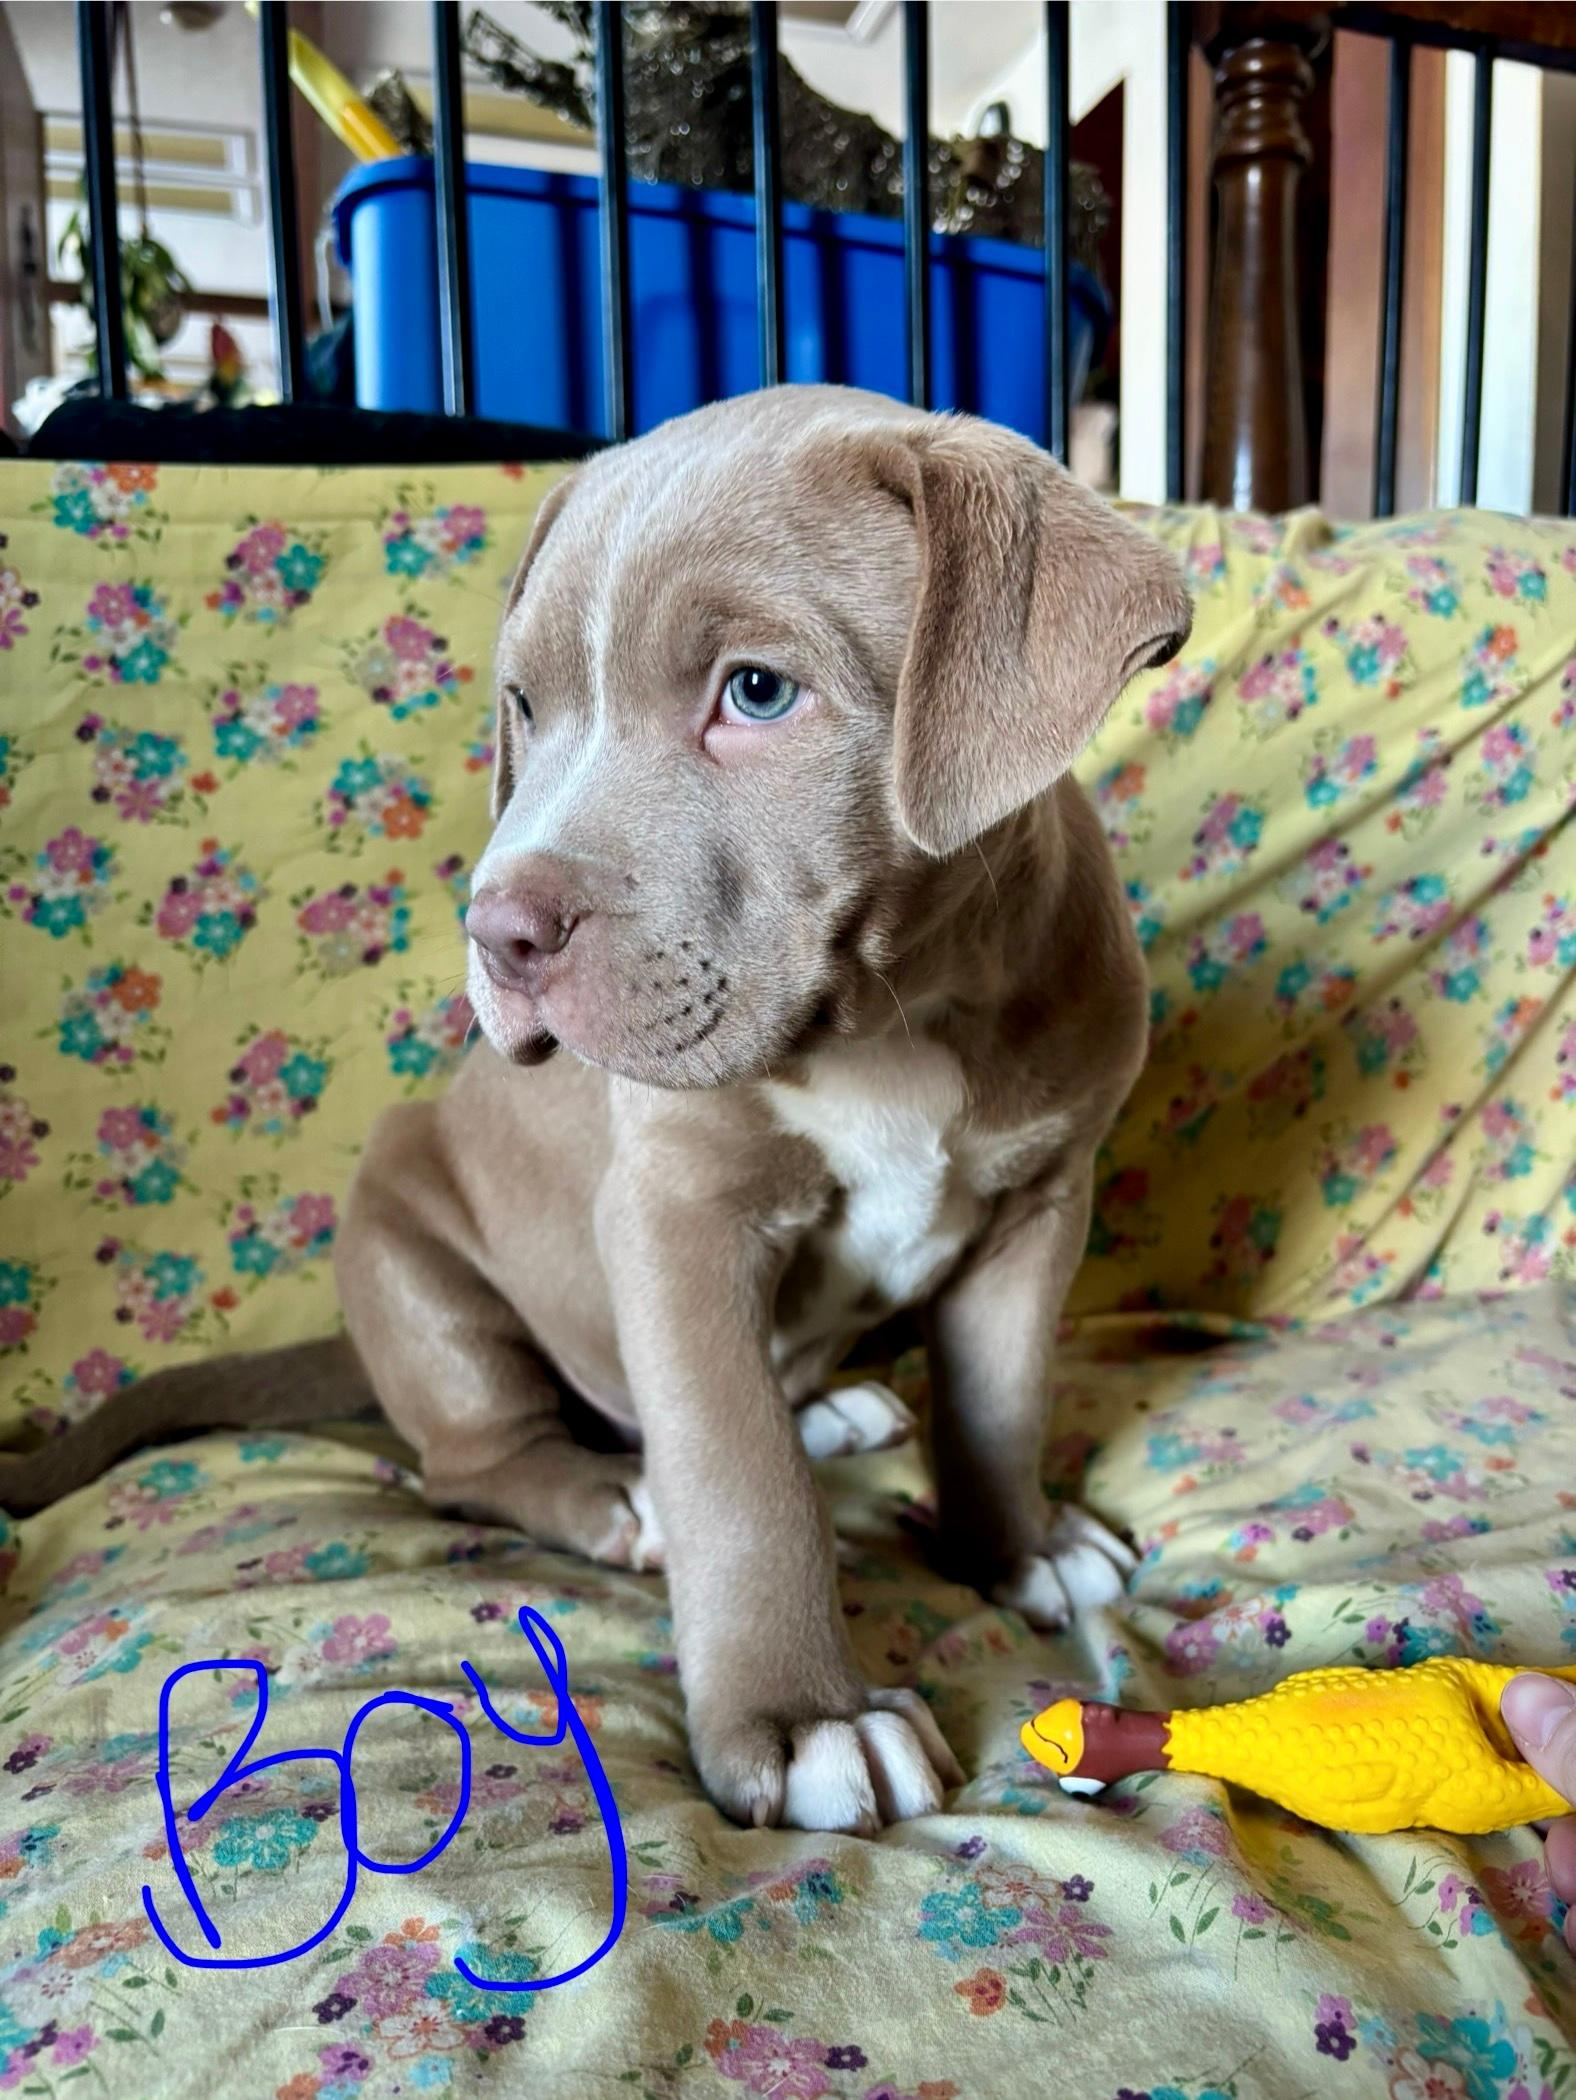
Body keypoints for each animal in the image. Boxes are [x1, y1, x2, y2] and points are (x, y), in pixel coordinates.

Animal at [6, 386, 1193, 1831]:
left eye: (756, 690)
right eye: (524, 705)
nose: (497, 931)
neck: (891, 1018)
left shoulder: (1039, 1202)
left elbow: (999, 1399)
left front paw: (1021, 1549)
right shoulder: (678, 1215)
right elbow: (737, 1475)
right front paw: (803, 1717)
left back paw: (829, 1411)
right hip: (406, 1238)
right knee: (479, 1458)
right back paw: (612, 1492)